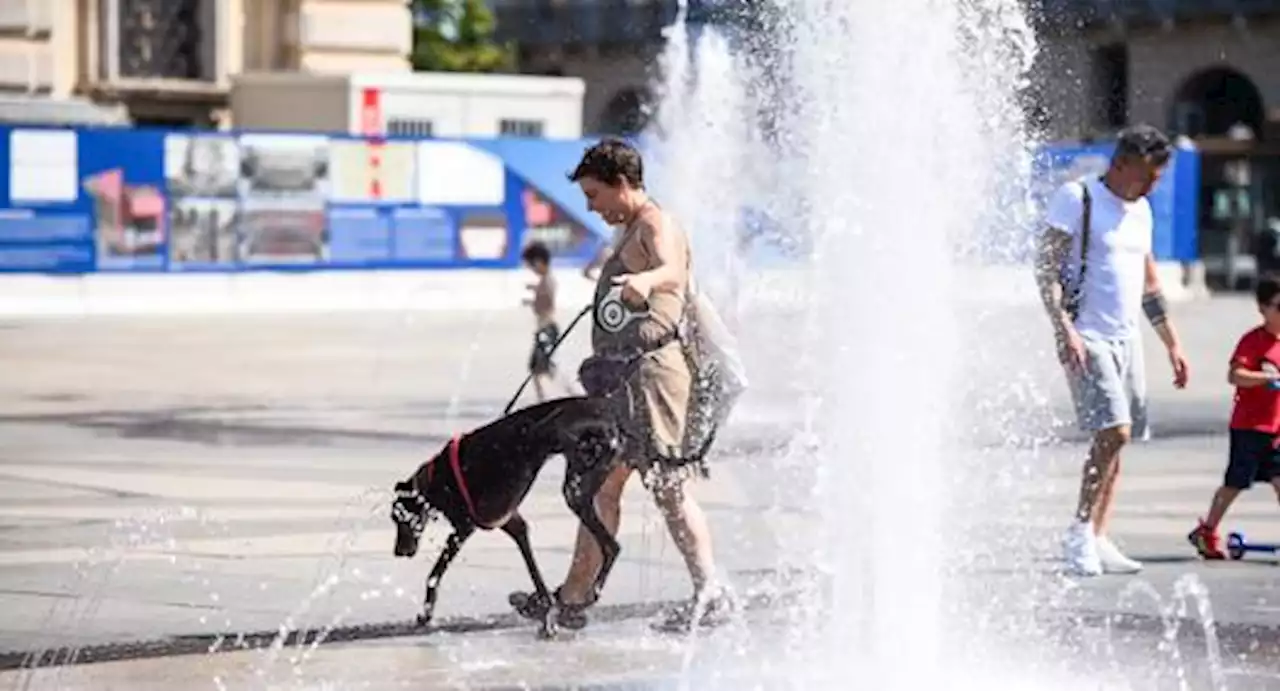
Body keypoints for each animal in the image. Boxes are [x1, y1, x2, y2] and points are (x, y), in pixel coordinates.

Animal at [391, 396, 627, 639]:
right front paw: (547, 612)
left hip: (572, 481)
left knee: (611, 547)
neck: (434, 480)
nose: (399, 551)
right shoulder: (513, 525)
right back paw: (577, 605)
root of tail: (612, 422)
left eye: (398, 518)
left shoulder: (462, 530)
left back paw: (586, 600)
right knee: (611, 547)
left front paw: (425, 615)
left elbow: (435, 574)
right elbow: (536, 575)